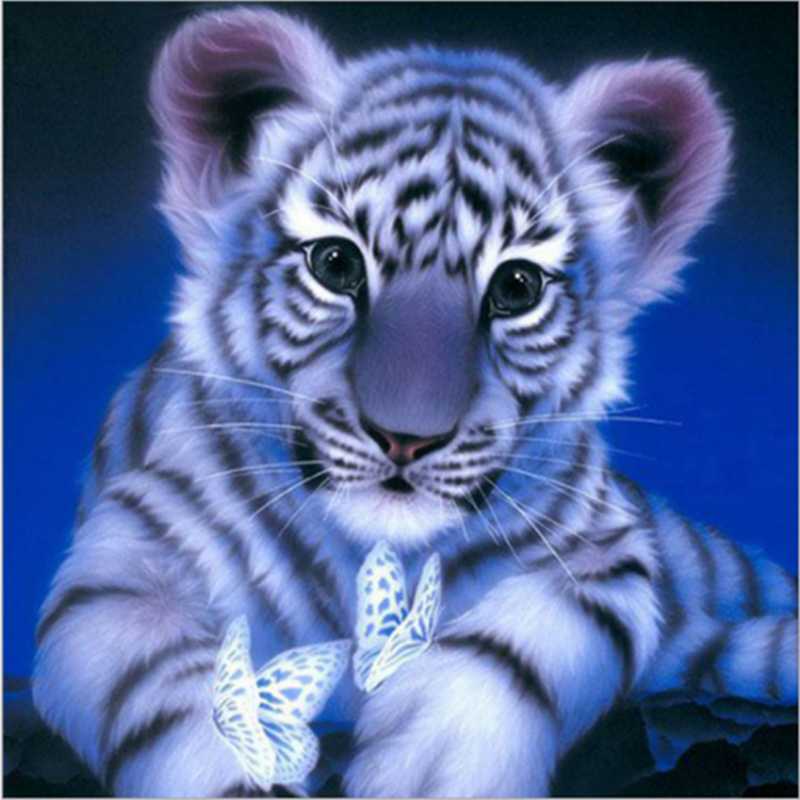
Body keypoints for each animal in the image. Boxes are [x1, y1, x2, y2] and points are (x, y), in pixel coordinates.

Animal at [32, 7, 797, 797]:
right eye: (335, 263)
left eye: (517, 286)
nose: (406, 438)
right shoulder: (124, 563)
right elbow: (183, 688)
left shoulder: (608, 549)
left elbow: (523, 640)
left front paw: (432, 763)